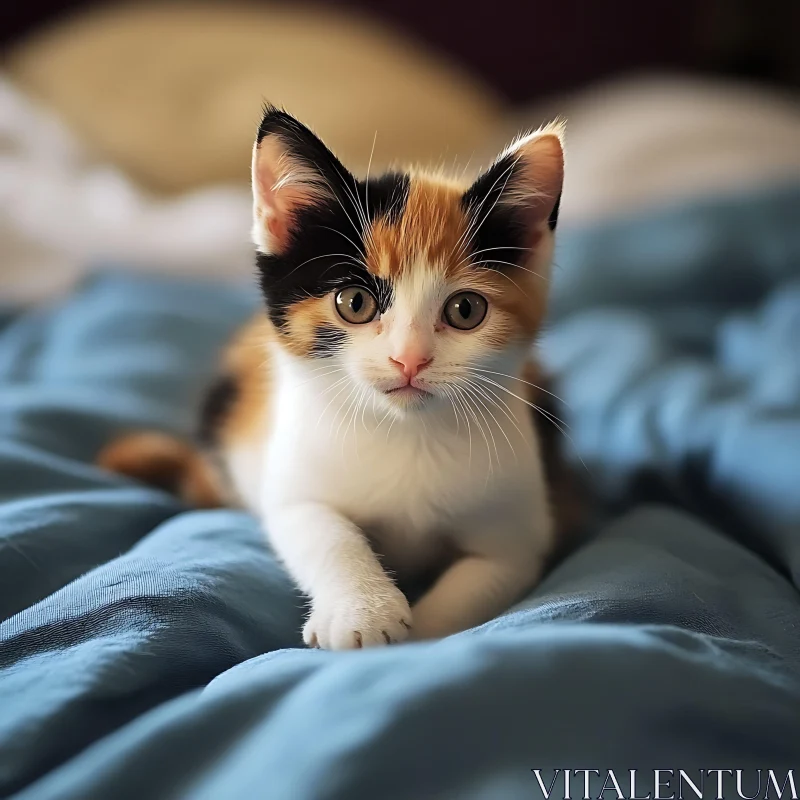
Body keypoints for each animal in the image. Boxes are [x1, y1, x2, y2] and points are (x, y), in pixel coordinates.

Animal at [98, 106, 568, 652]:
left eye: (466, 310)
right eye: (354, 302)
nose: (409, 360)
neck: (407, 432)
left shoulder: (518, 538)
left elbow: (481, 579)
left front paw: (421, 635)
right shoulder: (293, 481)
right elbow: (324, 530)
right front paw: (363, 611)